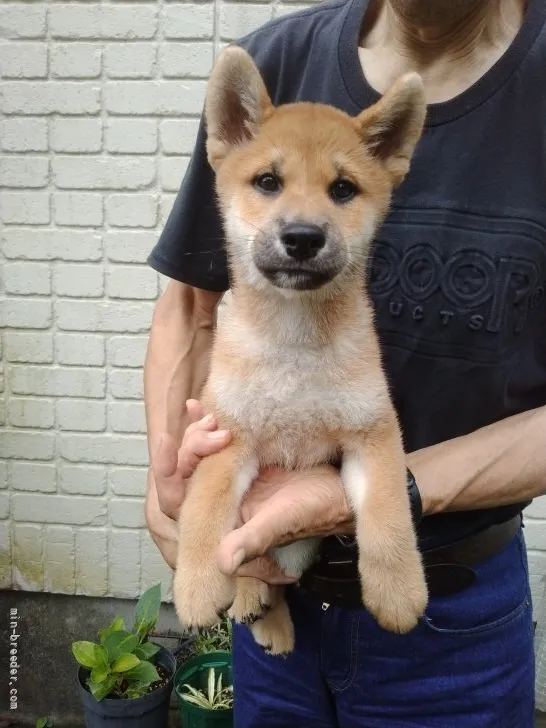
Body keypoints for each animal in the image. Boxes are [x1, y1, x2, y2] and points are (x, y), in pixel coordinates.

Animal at [172, 48, 428, 656]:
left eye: (343, 189)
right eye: (268, 181)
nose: (305, 237)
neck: (295, 343)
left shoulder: (372, 432)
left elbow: (388, 517)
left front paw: (399, 592)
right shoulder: (226, 434)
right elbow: (202, 512)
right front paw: (196, 585)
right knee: (255, 569)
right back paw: (253, 604)